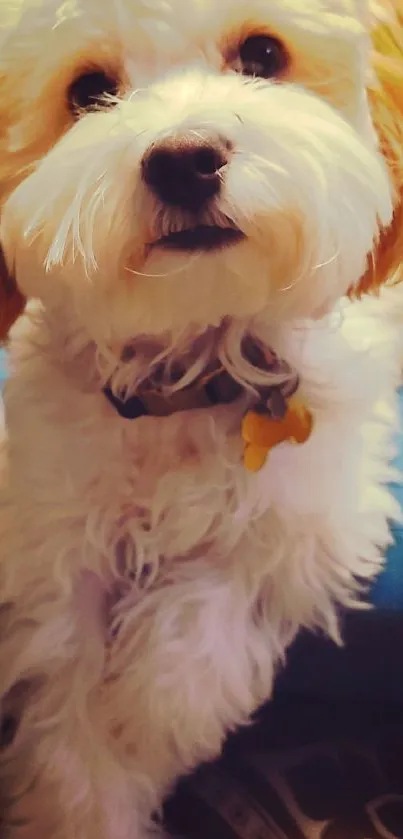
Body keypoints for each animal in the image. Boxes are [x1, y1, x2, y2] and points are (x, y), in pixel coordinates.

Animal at [0, 0, 403, 836]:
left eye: (263, 54)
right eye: (87, 90)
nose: (183, 159)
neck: (193, 366)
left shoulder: (322, 495)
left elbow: (223, 585)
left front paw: (152, 713)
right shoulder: (53, 530)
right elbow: (66, 699)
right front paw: (92, 788)